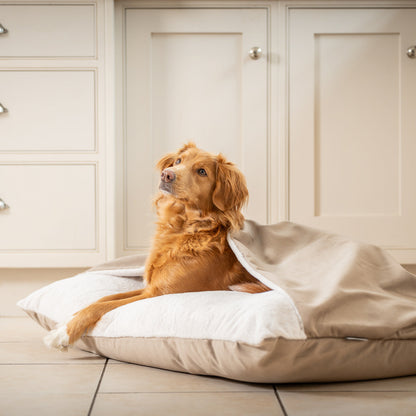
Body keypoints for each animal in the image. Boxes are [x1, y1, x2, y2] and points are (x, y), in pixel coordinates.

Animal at [45, 141, 270, 350]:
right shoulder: (150, 287)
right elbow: (102, 299)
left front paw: (63, 334)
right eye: (178, 161)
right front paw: (66, 321)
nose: (166, 175)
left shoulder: (157, 293)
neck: (184, 229)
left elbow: (102, 306)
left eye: (202, 171)